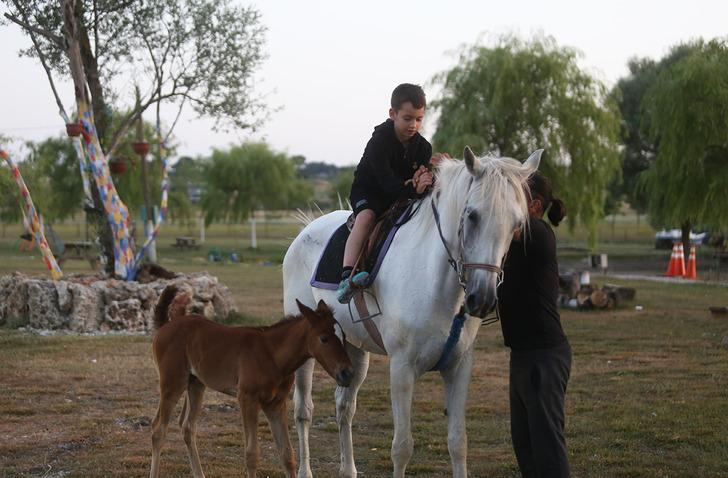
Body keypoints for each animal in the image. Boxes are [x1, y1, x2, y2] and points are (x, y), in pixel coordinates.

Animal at [148, 286, 352, 476]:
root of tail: (165, 326)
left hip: (196, 384)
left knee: (188, 427)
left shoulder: (276, 404)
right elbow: (252, 454)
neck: (272, 354)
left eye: (344, 336)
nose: (347, 373)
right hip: (172, 383)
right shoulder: (247, 399)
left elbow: (287, 455)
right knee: (158, 429)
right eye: (324, 338)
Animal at [282, 148, 544, 476]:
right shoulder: (402, 369)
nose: (481, 299)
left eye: (516, 223)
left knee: (344, 407)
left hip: (353, 348)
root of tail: (306, 230)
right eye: (472, 215)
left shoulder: (459, 368)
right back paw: (305, 469)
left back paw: (349, 469)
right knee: (303, 410)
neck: (435, 282)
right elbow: (402, 447)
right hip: (307, 350)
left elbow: (458, 442)